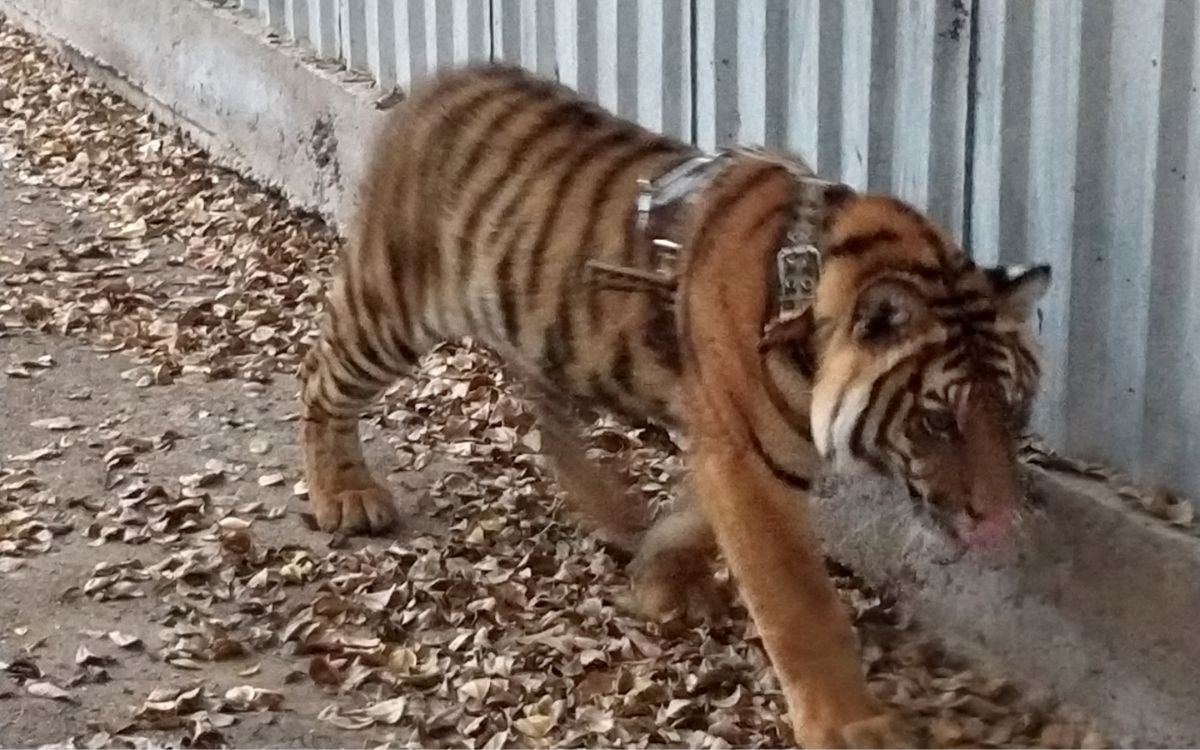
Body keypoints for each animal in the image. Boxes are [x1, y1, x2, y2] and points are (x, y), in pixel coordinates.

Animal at [298, 63, 1051, 748]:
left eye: (1012, 411)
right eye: (936, 420)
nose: (999, 520)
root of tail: (433, 83)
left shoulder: (731, 443)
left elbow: (696, 516)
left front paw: (660, 575)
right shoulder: (748, 459)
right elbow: (799, 603)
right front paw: (852, 724)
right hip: (389, 307)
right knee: (320, 378)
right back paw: (345, 495)